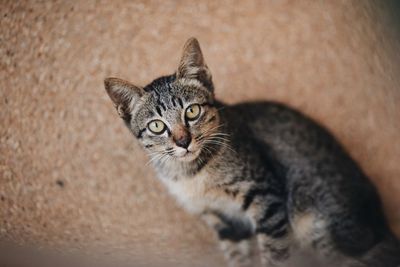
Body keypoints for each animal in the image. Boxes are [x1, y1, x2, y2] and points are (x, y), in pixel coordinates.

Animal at [104, 38, 400, 267]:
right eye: (157, 125)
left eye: (192, 111)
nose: (183, 141)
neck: (190, 174)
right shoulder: (222, 222)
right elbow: (237, 257)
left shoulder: (267, 199)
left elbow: (275, 255)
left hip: (314, 222)